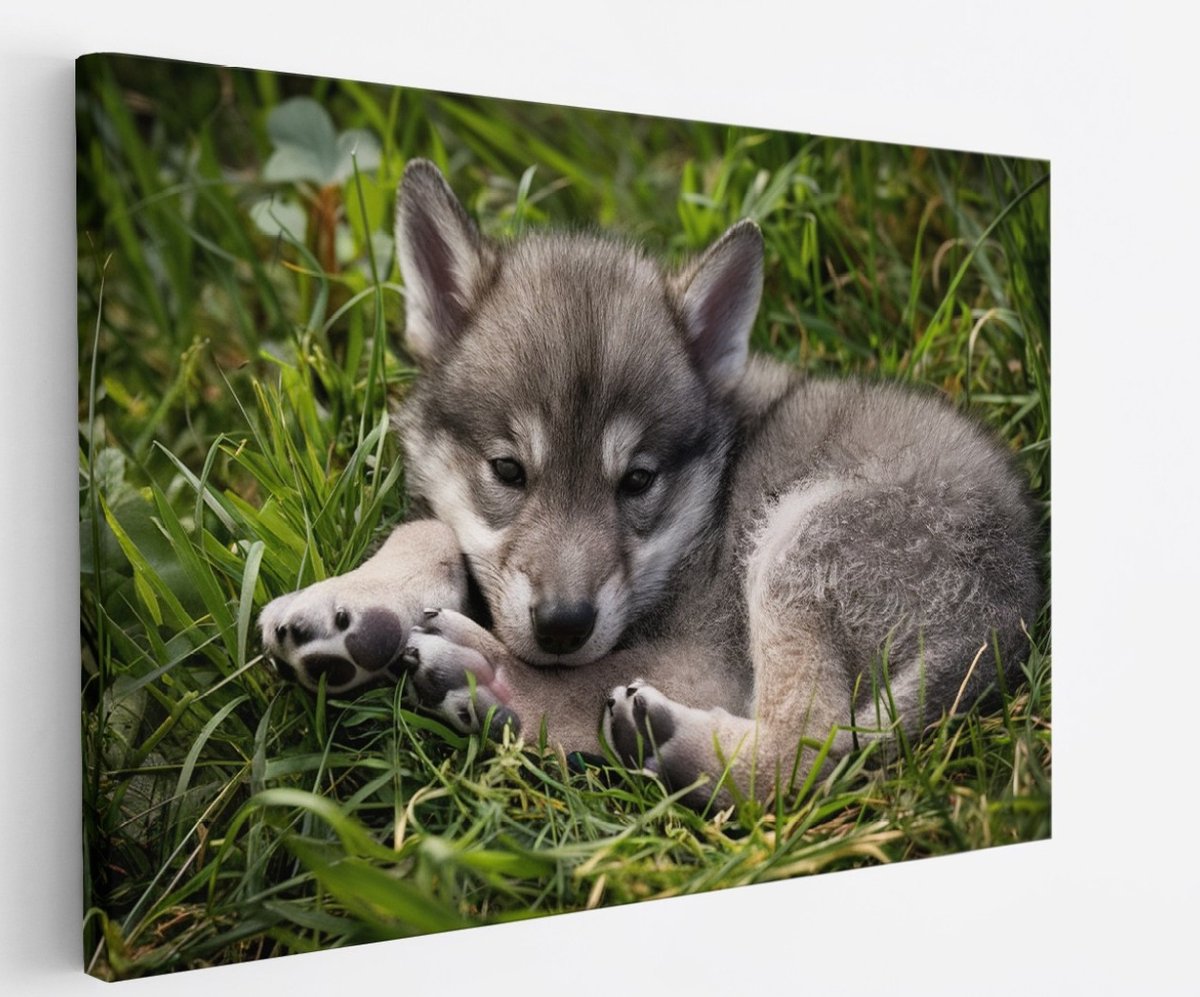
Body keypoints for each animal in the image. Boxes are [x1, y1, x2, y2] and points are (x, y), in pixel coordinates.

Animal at [259, 159, 1041, 807]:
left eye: (637, 480)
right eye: (508, 471)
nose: (564, 624)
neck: (708, 508)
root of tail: (1004, 617)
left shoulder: (704, 655)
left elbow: (583, 677)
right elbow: (431, 529)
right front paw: (352, 605)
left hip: (803, 542)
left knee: (803, 749)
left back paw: (516, 693)